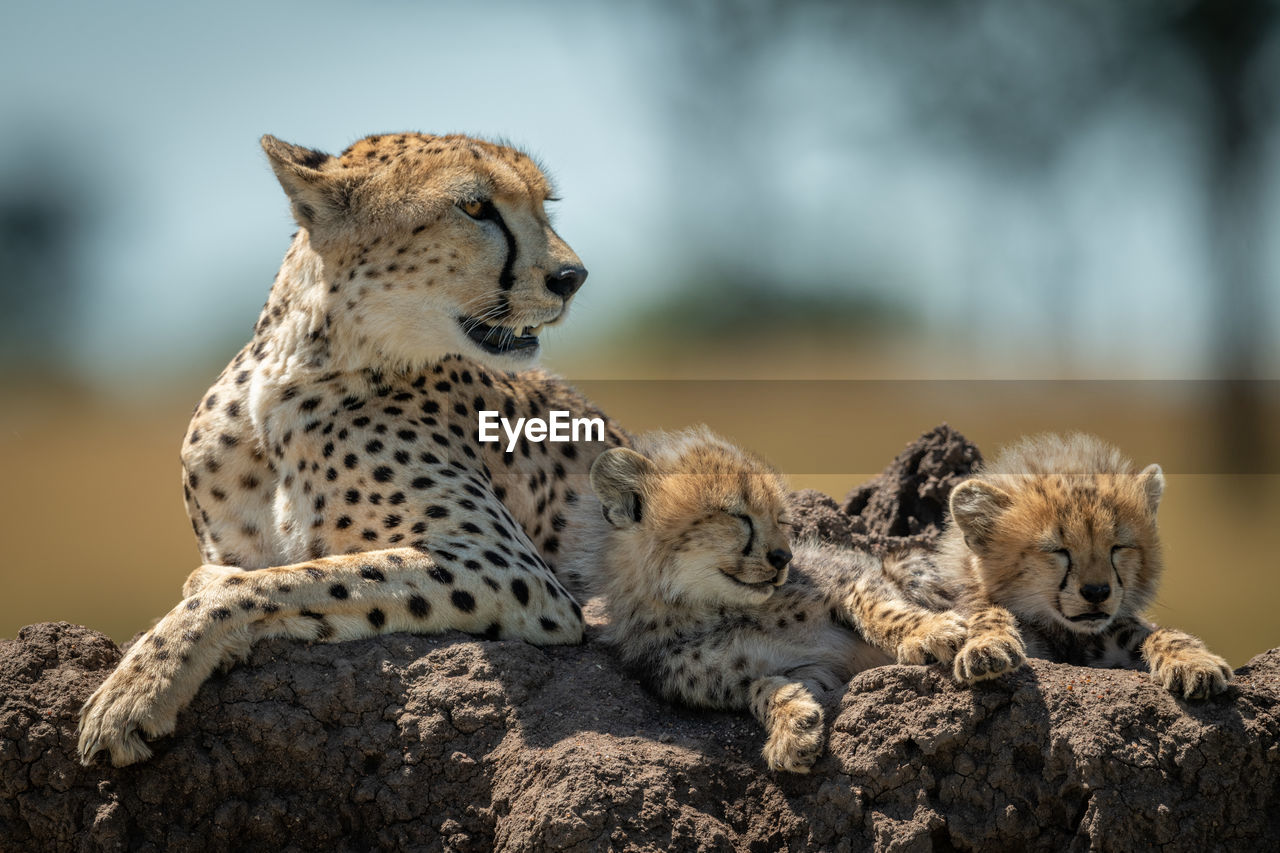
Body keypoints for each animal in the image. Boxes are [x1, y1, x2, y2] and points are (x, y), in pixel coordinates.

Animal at [77, 131, 627, 763]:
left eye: (544, 205)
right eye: (474, 207)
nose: (572, 277)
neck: (293, 374)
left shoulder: (516, 571)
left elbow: (278, 580)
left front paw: (135, 691)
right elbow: (262, 574)